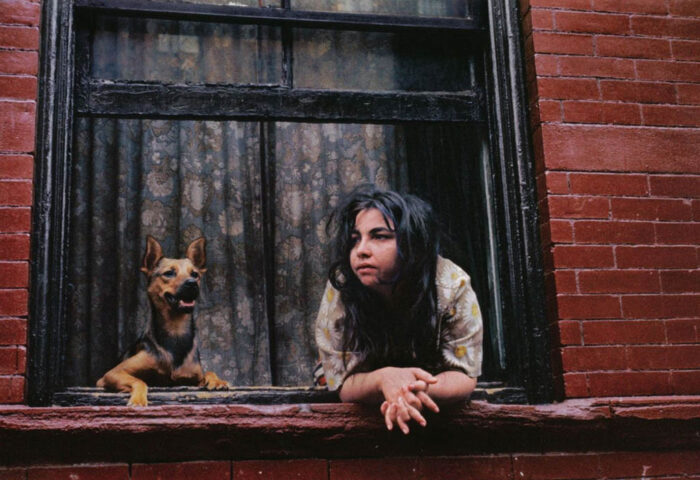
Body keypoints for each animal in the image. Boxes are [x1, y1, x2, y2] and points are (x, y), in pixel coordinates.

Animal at [97, 235, 230, 404]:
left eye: (195, 274)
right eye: (169, 273)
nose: (192, 284)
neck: (175, 329)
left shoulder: (193, 378)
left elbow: (208, 372)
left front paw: (217, 380)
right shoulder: (111, 375)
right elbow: (140, 381)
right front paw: (138, 400)